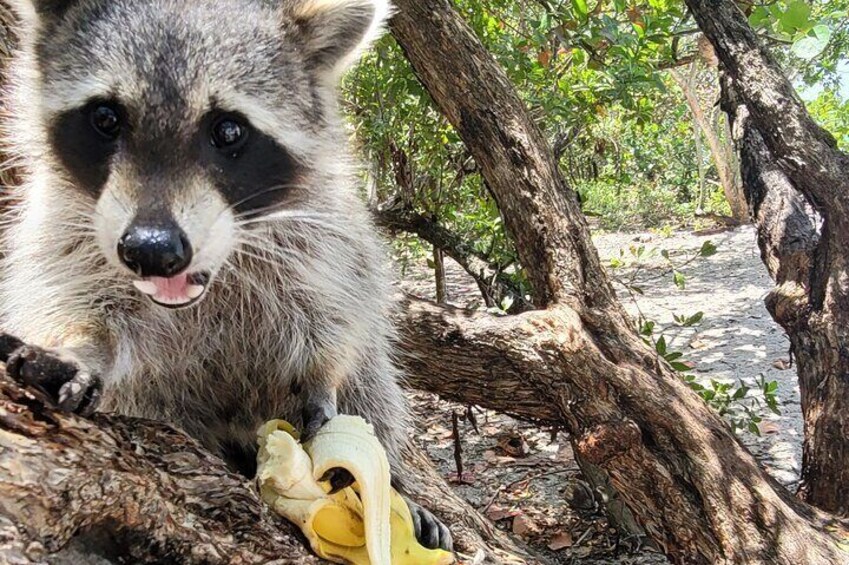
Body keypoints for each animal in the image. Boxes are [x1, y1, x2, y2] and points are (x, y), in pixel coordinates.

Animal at [1, 0, 450, 552]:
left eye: (228, 130)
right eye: (105, 118)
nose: (152, 251)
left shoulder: (326, 237)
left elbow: (339, 317)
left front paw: (321, 377)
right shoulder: (67, 235)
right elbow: (82, 304)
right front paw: (80, 346)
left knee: (374, 385)